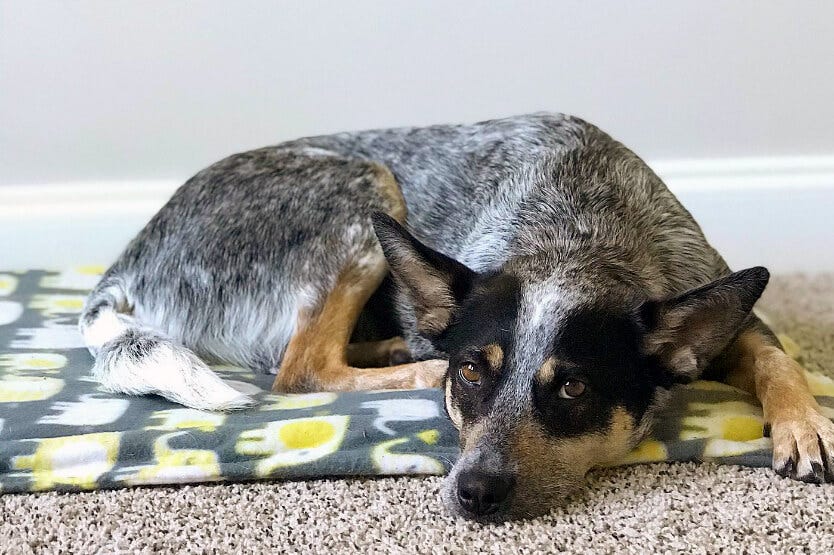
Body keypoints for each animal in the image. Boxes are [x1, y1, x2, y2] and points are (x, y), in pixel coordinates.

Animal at [79, 113, 832, 520]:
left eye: (573, 388)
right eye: (473, 373)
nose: (474, 490)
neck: (580, 230)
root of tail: (127, 263)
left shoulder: (726, 311)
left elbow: (776, 356)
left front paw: (807, 422)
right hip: (361, 184)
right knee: (301, 369)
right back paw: (411, 363)